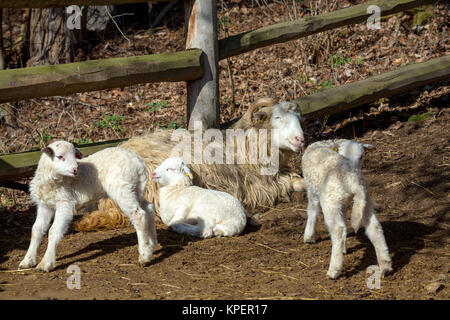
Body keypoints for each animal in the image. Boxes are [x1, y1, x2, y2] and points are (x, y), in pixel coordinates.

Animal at [18, 141, 156, 272]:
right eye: (60, 156)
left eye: (74, 155)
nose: (75, 169)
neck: (53, 180)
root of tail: (138, 162)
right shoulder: (45, 205)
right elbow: (36, 230)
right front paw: (27, 261)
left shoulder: (65, 203)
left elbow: (53, 231)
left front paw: (45, 263)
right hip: (136, 188)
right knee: (149, 208)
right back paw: (151, 245)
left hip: (123, 189)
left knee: (138, 215)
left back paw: (144, 256)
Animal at [76, 96, 306, 231]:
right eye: (277, 118)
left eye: (299, 118)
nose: (300, 140)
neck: (245, 147)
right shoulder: (258, 188)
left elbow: (297, 180)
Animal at [300, 139, 392, 278]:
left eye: (362, 156)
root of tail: (353, 179)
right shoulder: (341, 204)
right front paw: (344, 248)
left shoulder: (312, 191)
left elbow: (312, 211)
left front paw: (309, 237)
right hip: (364, 200)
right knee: (374, 227)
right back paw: (385, 266)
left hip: (331, 201)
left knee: (338, 230)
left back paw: (334, 270)